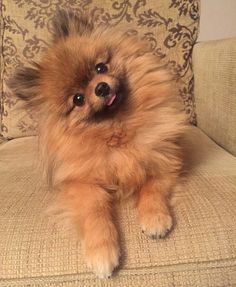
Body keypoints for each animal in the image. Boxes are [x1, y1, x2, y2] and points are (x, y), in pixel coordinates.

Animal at [8, 11, 186, 280]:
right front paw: (102, 253)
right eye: (78, 99)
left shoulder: (162, 160)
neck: (117, 131)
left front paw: (155, 219)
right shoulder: (83, 185)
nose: (101, 87)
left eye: (101, 67)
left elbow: (151, 189)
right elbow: (96, 214)